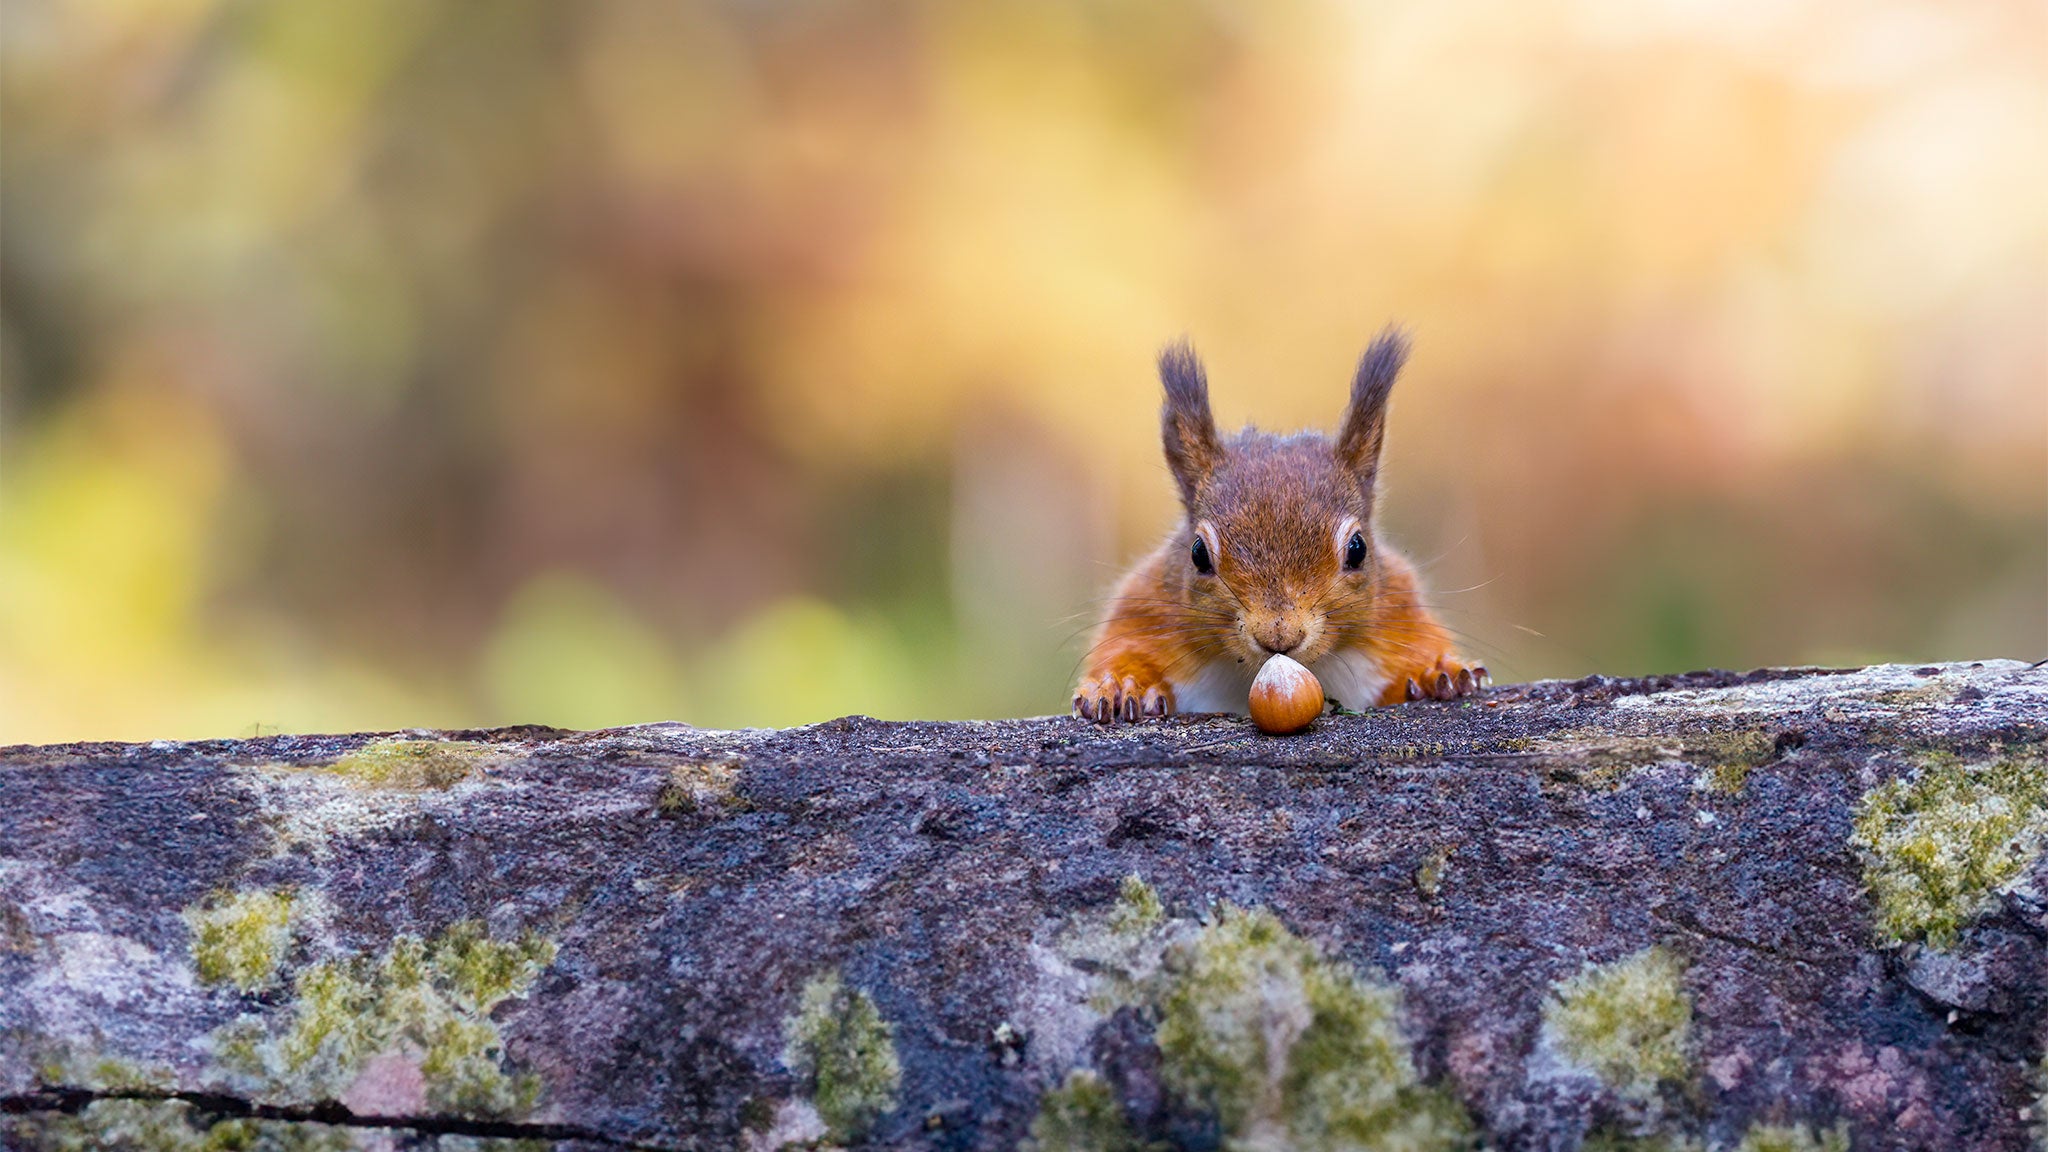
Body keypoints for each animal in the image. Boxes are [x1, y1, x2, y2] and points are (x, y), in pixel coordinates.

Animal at [1074, 329, 1485, 723]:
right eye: (1198, 554)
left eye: (1358, 549)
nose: (1279, 635)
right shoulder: (1146, 610)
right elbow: (1125, 647)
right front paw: (1121, 685)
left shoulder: (1398, 609)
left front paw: (1437, 672)